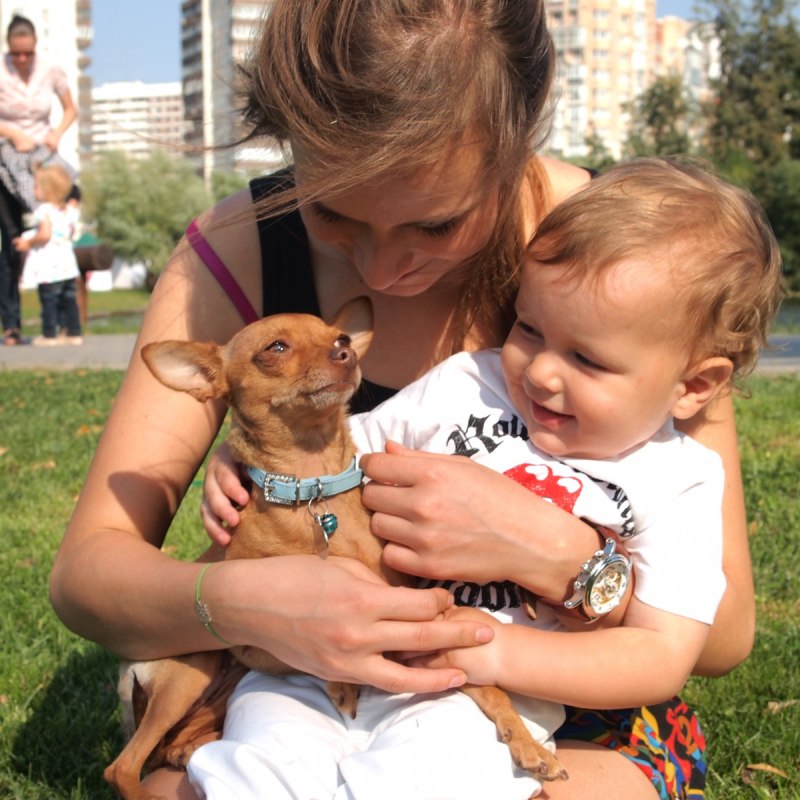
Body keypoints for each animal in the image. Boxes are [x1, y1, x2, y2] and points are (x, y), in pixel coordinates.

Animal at [103, 297, 567, 800]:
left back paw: (186, 750)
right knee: (123, 766)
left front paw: (528, 745)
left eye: (340, 338)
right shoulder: (265, 635)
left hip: (209, 692)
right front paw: (343, 683)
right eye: (276, 347)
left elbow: (492, 691)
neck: (316, 485)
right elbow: (311, 648)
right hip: (192, 670)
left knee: (168, 747)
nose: (346, 354)